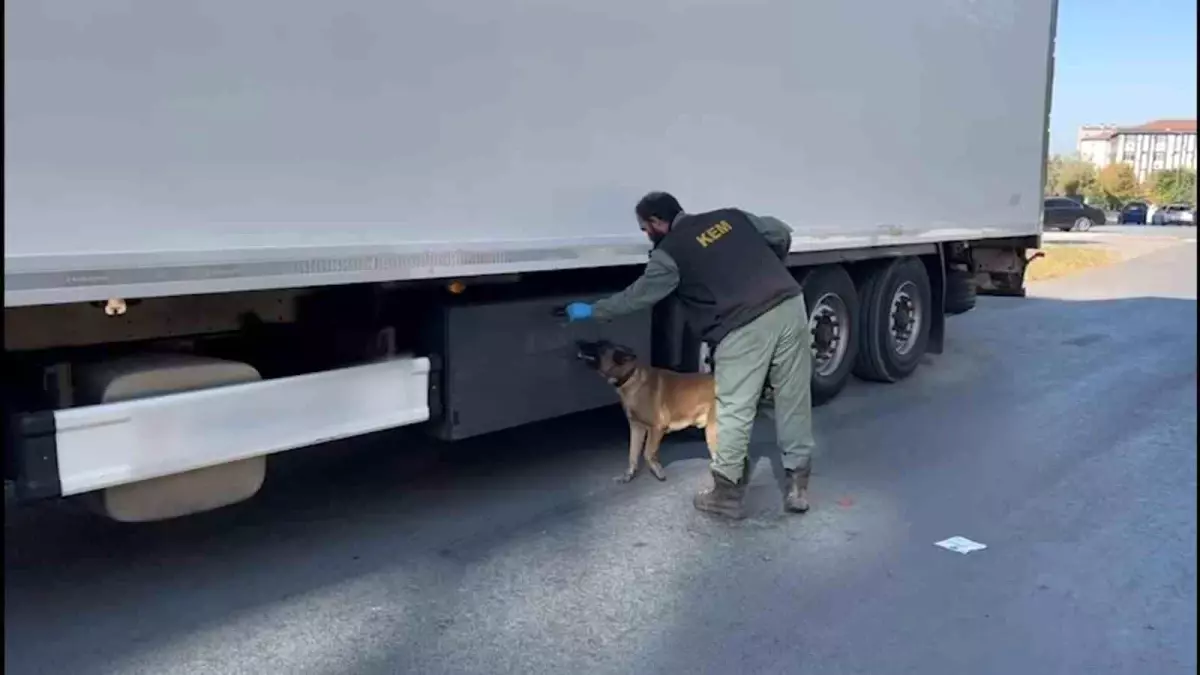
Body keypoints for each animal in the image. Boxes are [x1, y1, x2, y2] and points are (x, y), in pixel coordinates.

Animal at [576, 338, 715, 480]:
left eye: (600, 346)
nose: (578, 342)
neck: (630, 376)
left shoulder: (656, 428)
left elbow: (647, 453)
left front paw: (657, 470)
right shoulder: (636, 427)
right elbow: (632, 453)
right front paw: (629, 474)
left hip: (712, 431)